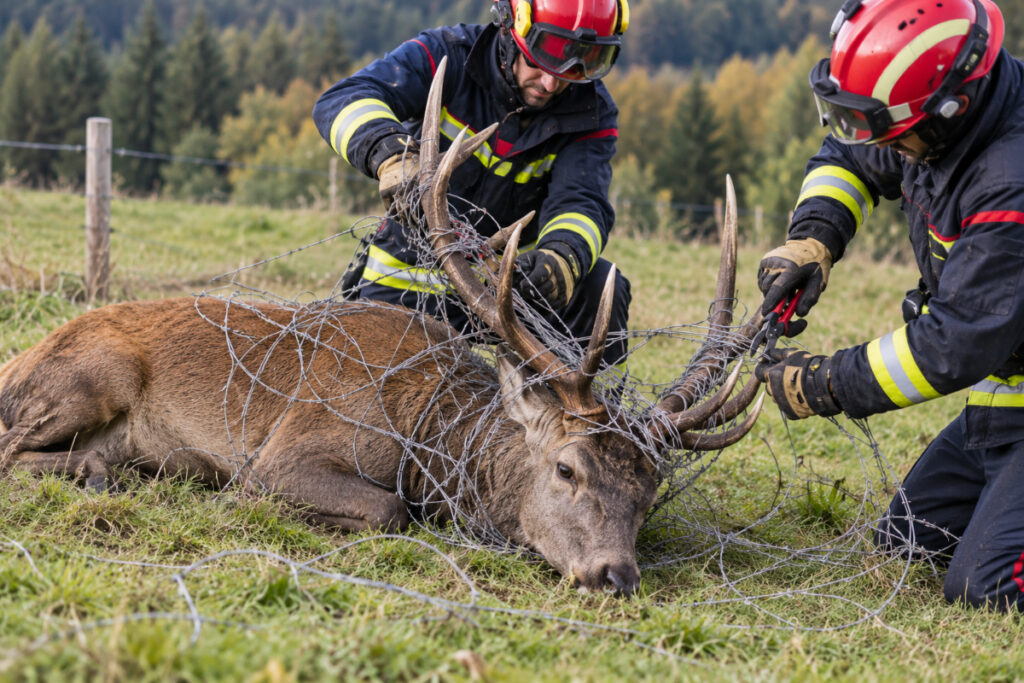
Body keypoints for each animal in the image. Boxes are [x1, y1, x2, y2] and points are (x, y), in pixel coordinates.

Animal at [0, 59, 763, 595]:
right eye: (566, 467)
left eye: (648, 491)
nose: (615, 574)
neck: (426, 439)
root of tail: (16, 362)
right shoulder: (285, 454)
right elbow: (388, 509)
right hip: (92, 374)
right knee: (12, 451)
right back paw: (105, 471)